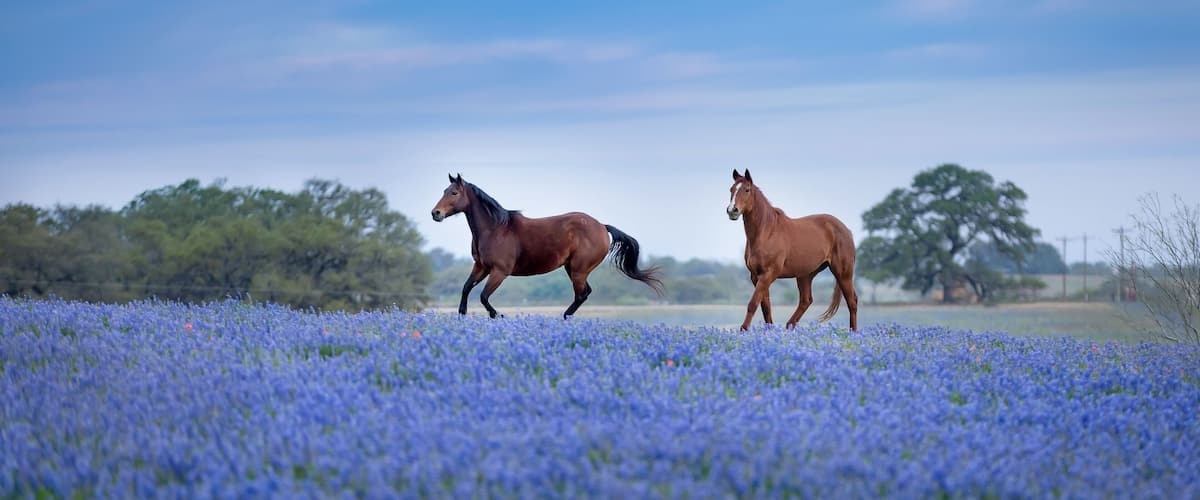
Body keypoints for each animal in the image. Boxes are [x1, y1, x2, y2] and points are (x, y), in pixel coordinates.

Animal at [432, 174, 664, 319]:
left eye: (454, 193)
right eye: (444, 190)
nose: (436, 213)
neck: (495, 229)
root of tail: (601, 226)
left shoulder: (499, 271)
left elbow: (483, 296)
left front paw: (497, 315)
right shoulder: (481, 267)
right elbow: (466, 288)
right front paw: (462, 315)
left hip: (578, 270)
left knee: (581, 294)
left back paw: (565, 317)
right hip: (572, 268)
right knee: (585, 293)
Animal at [726, 169, 858, 331]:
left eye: (747, 189)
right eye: (731, 189)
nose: (732, 210)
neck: (767, 231)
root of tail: (846, 230)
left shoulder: (768, 274)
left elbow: (753, 304)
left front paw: (744, 330)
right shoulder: (756, 276)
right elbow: (766, 308)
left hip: (843, 274)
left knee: (852, 301)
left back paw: (854, 332)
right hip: (806, 275)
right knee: (806, 300)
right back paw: (789, 326)